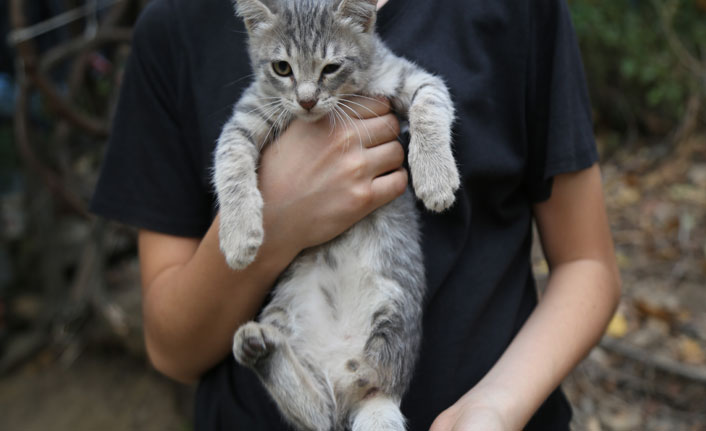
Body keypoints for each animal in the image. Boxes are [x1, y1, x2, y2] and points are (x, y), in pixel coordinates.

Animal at [212, 0, 460, 431]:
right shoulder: (247, 114)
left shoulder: (412, 78)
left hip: (392, 314)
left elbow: (430, 106)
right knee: (318, 412)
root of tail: (357, 388)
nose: (307, 100)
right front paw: (239, 233)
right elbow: (228, 161)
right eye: (282, 68)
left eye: (330, 68)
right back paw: (259, 348)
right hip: (281, 316)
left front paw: (435, 175)